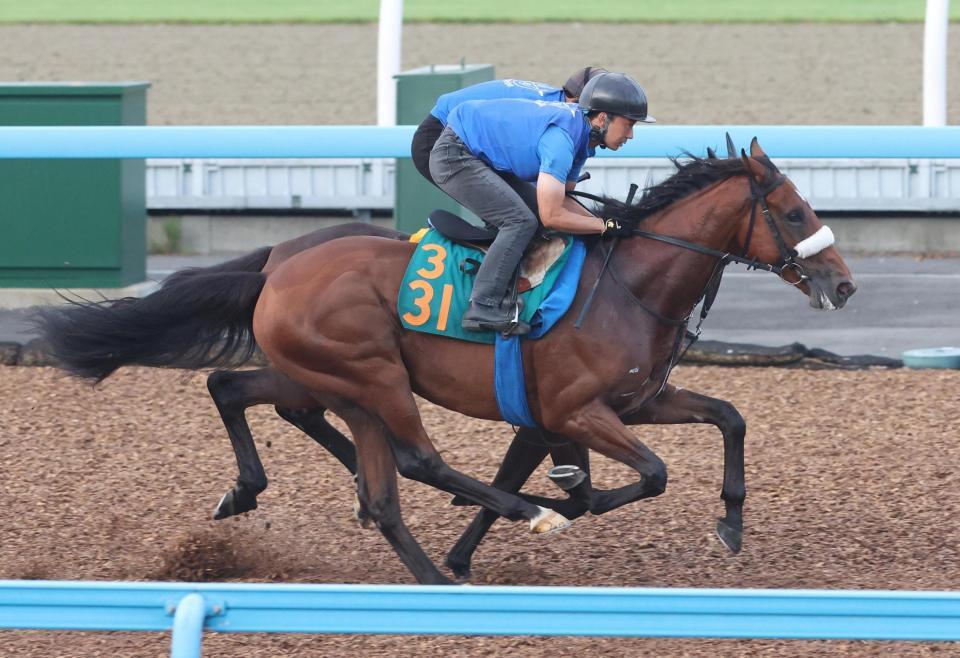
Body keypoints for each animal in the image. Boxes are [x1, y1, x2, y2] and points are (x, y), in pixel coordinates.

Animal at [41, 140, 860, 584]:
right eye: (794, 211)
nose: (843, 284)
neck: (630, 286)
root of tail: (279, 265)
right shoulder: (573, 412)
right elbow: (648, 474)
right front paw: (568, 501)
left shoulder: (632, 402)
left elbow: (730, 416)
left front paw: (729, 522)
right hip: (372, 375)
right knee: (413, 461)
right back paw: (521, 519)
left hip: (328, 375)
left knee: (246, 394)